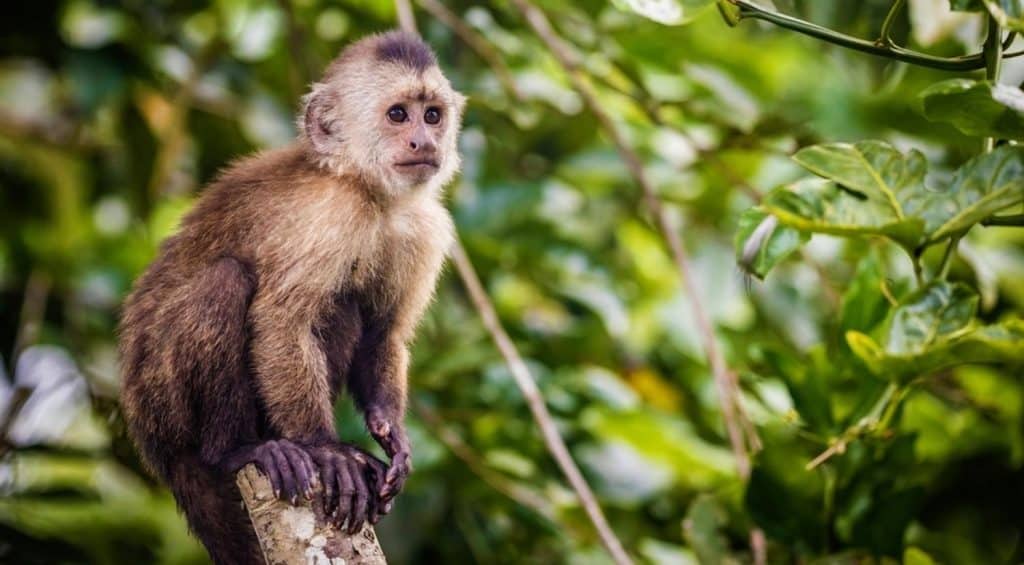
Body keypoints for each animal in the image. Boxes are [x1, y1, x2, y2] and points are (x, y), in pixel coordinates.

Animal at [118, 30, 465, 564]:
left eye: (432, 115)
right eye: (397, 115)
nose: (423, 142)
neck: (367, 191)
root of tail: (154, 447)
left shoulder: (424, 229)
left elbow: (384, 335)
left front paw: (392, 434)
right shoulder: (330, 217)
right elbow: (282, 322)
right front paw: (326, 449)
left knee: (346, 307)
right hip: (161, 402)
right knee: (225, 283)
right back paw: (239, 451)